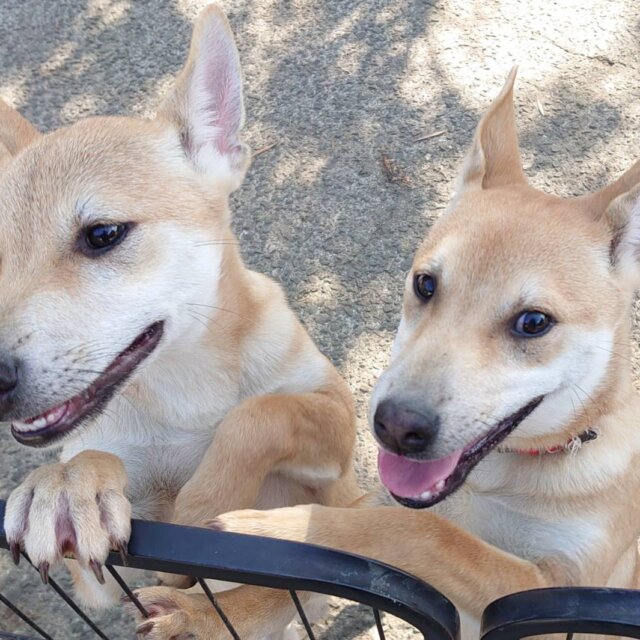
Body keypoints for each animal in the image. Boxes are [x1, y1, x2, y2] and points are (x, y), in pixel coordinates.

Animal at [0, 2, 359, 628]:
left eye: (103, 234)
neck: (183, 383)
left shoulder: (337, 418)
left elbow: (260, 415)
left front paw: (205, 504)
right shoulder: (99, 576)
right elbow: (88, 460)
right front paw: (63, 486)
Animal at [128, 70, 640, 639]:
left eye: (534, 323)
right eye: (425, 284)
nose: (396, 426)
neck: (499, 477)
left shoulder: (549, 591)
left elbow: (420, 531)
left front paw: (276, 525)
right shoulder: (375, 511)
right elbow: (293, 579)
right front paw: (199, 614)